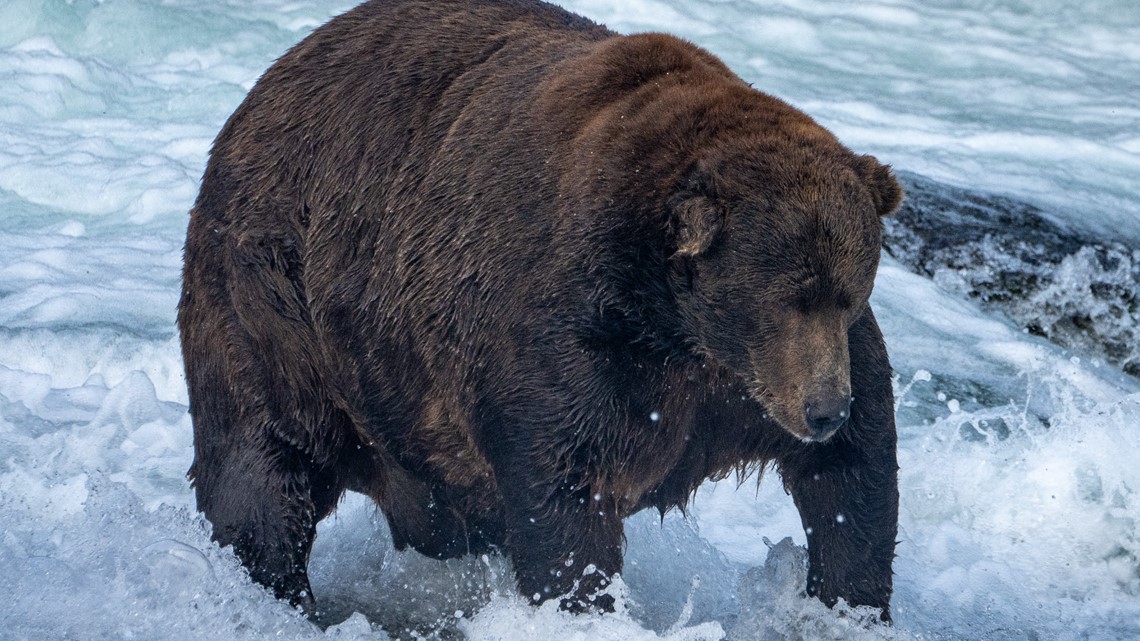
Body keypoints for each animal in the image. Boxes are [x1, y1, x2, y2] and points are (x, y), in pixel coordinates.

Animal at [177, 0, 902, 620]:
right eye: (787, 297)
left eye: (849, 291)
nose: (823, 409)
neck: (678, 324)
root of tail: (265, 84)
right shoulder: (576, 337)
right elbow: (565, 487)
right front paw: (584, 601)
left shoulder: (746, 383)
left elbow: (855, 475)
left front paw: (848, 602)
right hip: (277, 305)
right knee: (264, 466)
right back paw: (272, 588)